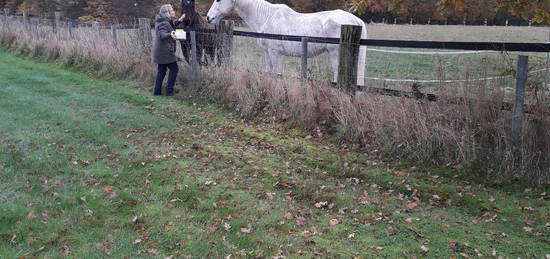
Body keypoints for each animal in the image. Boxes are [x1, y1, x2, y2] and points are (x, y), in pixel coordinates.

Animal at [209, 0, 368, 86]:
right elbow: (270, 71)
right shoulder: (268, 53)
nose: (209, 18)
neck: (267, 17)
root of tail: (356, 21)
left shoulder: (275, 53)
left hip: (335, 54)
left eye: (218, 0)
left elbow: (277, 73)